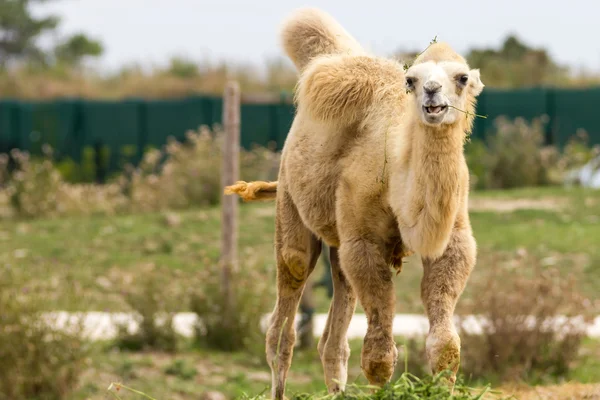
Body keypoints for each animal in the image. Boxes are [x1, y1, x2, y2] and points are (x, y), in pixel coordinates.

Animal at [224, 7, 482, 400]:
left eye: (462, 77)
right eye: (412, 80)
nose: (432, 93)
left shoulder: (453, 242)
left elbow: (446, 347)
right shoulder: (364, 241)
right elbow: (378, 357)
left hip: (337, 245)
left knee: (332, 342)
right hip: (291, 209)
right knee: (283, 327)